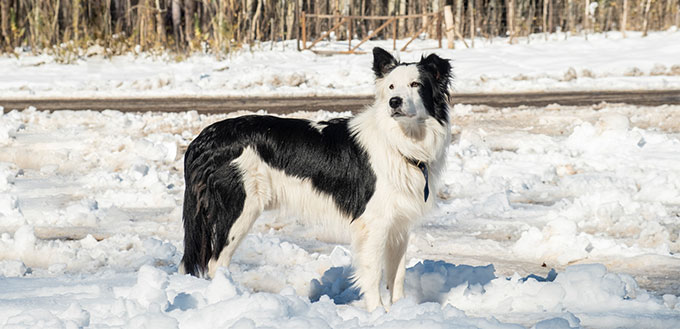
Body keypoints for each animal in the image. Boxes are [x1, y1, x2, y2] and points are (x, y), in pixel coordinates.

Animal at [181, 46, 452, 310]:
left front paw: (400, 310)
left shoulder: (399, 225)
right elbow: (373, 273)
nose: (394, 102)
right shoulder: (374, 223)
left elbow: (397, 275)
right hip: (239, 208)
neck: (399, 141)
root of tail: (204, 138)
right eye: (391, 87)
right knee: (216, 262)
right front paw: (377, 313)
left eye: (416, 84)